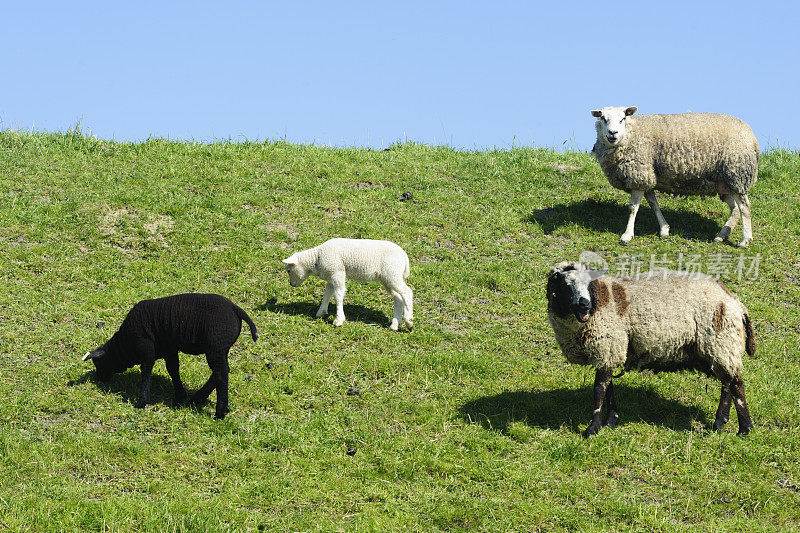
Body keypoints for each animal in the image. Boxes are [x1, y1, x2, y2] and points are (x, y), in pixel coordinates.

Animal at [82, 290, 256, 420]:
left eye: (99, 363)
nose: (100, 378)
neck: (125, 344)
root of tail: (235, 308)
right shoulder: (169, 349)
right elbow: (173, 370)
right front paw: (179, 396)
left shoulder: (146, 348)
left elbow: (146, 372)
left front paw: (142, 401)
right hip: (220, 349)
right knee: (221, 372)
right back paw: (197, 399)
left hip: (215, 347)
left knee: (221, 374)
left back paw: (219, 411)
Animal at [282, 237, 412, 328]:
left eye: (288, 270)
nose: (291, 284)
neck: (317, 258)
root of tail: (404, 256)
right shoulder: (331, 275)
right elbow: (328, 292)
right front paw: (321, 312)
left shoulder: (337, 272)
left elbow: (338, 295)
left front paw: (339, 319)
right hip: (388, 278)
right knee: (398, 298)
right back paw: (394, 325)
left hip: (392, 273)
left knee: (407, 292)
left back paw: (409, 321)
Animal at [548, 260, 752, 436]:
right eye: (566, 286)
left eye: (589, 283)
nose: (584, 304)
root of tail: (734, 300)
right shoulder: (610, 351)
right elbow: (608, 387)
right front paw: (611, 420)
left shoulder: (607, 345)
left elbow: (599, 388)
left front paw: (593, 428)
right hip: (720, 349)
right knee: (727, 384)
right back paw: (720, 422)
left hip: (721, 342)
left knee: (736, 385)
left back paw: (744, 428)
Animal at [592, 106, 760, 247]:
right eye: (603, 118)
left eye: (623, 118)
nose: (612, 133)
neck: (631, 133)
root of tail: (752, 136)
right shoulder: (647, 177)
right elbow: (653, 204)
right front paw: (664, 229)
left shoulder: (639, 175)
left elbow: (633, 208)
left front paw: (627, 235)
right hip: (724, 183)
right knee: (735, 210)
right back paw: (721, 235)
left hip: (737, 174)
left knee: (745, 208)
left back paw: (745, 240)